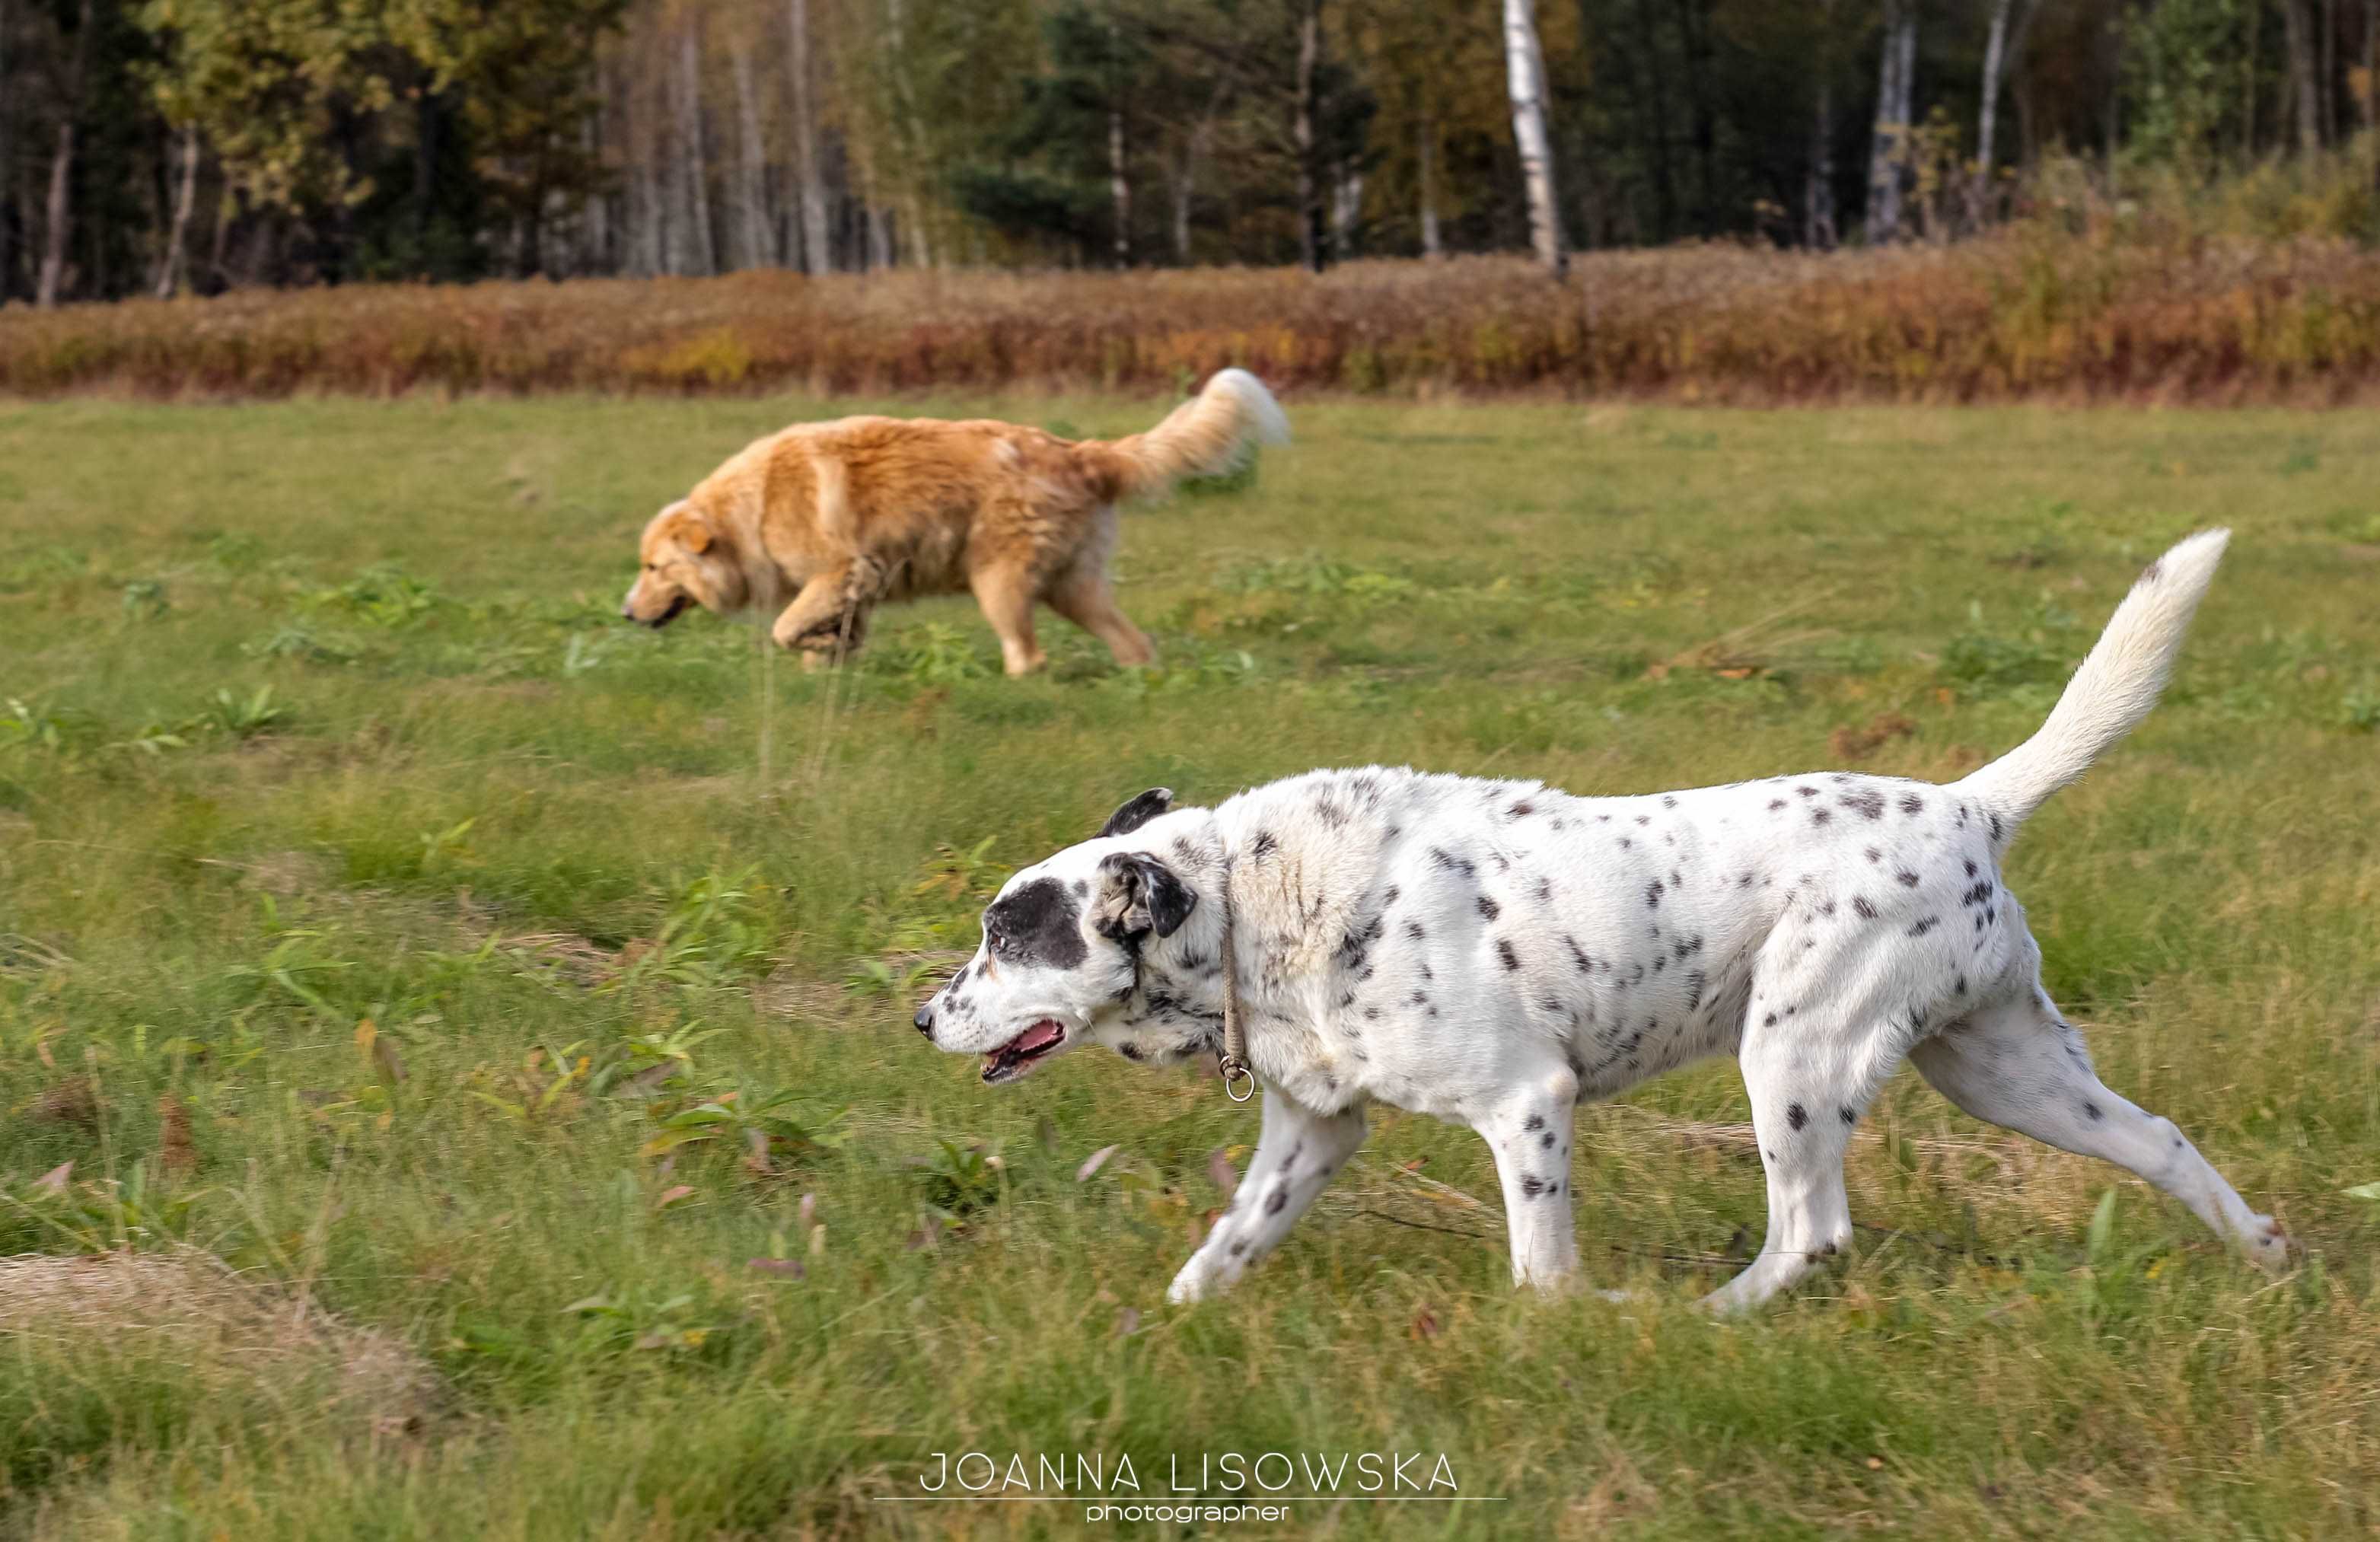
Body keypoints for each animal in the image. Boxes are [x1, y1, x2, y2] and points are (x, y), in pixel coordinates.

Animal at [613, 371, 1285, 671]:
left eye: (653, 568)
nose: (624, 614)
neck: (747, 511)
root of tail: (1079, 451)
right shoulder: (857, 587)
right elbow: (826, 640)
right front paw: (826, 666)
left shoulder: (842, 571)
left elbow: (784, 628)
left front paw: (815, 649)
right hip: (1073, 587)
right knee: (1134, 644)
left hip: (999, 581)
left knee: (1028, 654)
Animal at [909, 533, 2284, 1313]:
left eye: (1004, 934)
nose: (919, 1015)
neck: (1256, 907)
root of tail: (1969, 801)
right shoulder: (1312, 1131)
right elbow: (1218, 1252)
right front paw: (1163, 1323)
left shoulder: (1527, 1106)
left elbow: (1541, 1272)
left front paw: (1569, 1321)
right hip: (2003, 1070)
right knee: (2160, 1140)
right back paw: (2265, 1253)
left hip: (1792, 1055)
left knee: (1810, 1232)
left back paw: (1705, 1317)